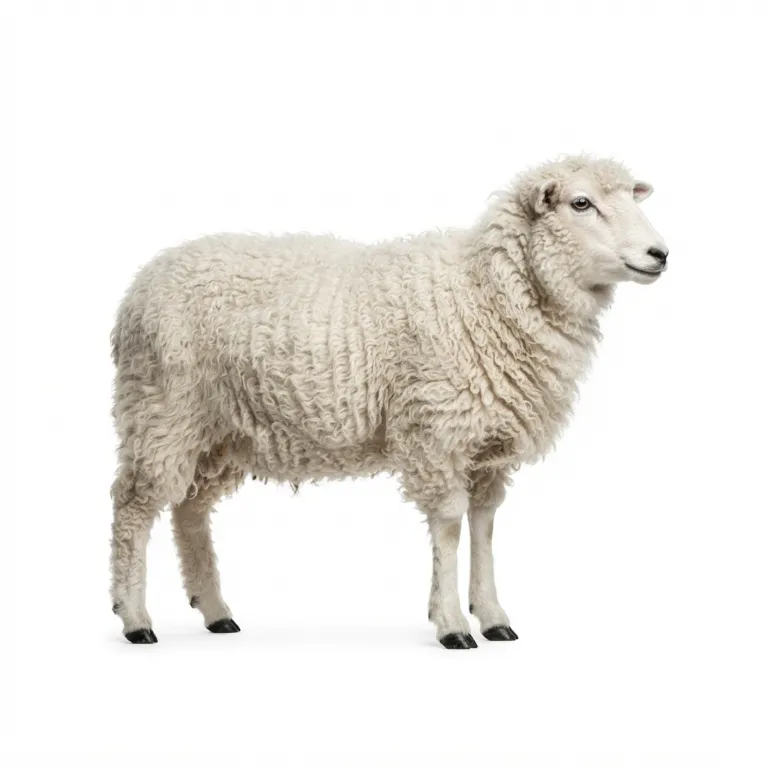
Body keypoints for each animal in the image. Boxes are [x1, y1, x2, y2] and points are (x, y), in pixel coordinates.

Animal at [110, 154, 668, 649]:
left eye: (629, 196)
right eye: (581, 203)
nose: (659, 253)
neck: (486, 292)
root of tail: (142, 282)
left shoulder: (488, 447)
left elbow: (484, 525)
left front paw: (492, 616)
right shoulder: (437, 431)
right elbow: (450, 526)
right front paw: (452, 625)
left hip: (219, 432)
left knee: (189, 509)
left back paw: (215, 611)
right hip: (161, 408)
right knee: (133, 507)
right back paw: (136, 618)